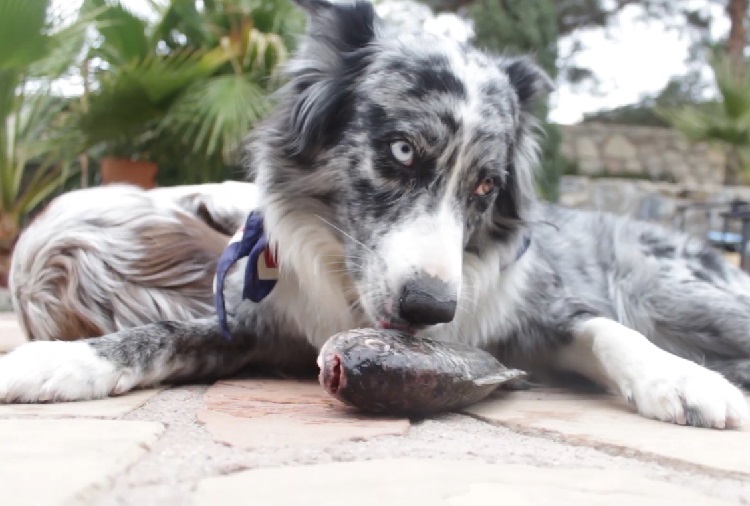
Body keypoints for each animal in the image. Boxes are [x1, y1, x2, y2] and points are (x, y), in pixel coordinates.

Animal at [1, 0, 750, 428]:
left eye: (486, 186)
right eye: (401, 150)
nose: (430, 309)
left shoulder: (544, 312)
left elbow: (605, 331)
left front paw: (683, 381)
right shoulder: (266, 325)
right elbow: (166, 335)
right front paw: (56, 362)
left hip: (676, 294)